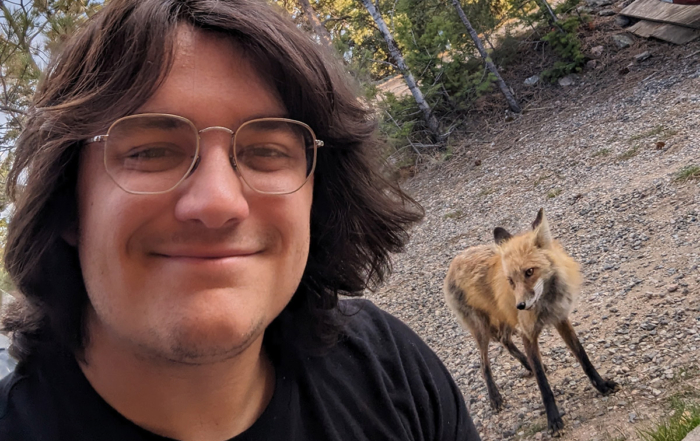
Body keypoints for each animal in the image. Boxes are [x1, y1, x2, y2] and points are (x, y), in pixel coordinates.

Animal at [442, 209, 616, 434]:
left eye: (529, 272)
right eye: (510, 281)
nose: (521, 306)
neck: (546, 304)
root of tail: (454, 262)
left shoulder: (560, 319)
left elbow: (584, 358)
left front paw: (602, 385)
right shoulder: (527, 333)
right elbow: (543, 384)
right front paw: (553, 420)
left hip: (505, 318)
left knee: (505, 341)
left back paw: (526, 365)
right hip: (482, 329)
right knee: (483, 363)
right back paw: (495, 396)